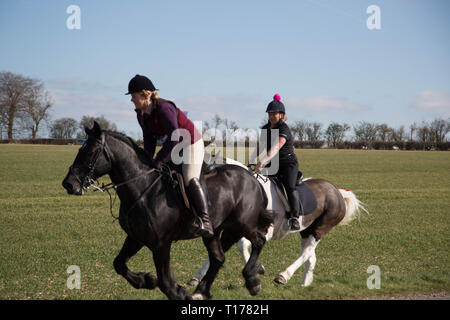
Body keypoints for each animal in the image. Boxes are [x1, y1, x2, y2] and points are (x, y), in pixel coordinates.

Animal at [61, 122, 272, 300]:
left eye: (91, 152)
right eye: (80, 149)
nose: (69, 184)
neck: (143, 189)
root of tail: (253, 177)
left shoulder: (161, 244)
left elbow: (165, 282)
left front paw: (178, 292)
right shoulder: (136, 238)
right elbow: (119, 264)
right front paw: (146, 280)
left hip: (243, 224)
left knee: (259, 241)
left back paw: (251, 280)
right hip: (214, 231)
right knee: (218, 258)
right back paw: (201, 291)